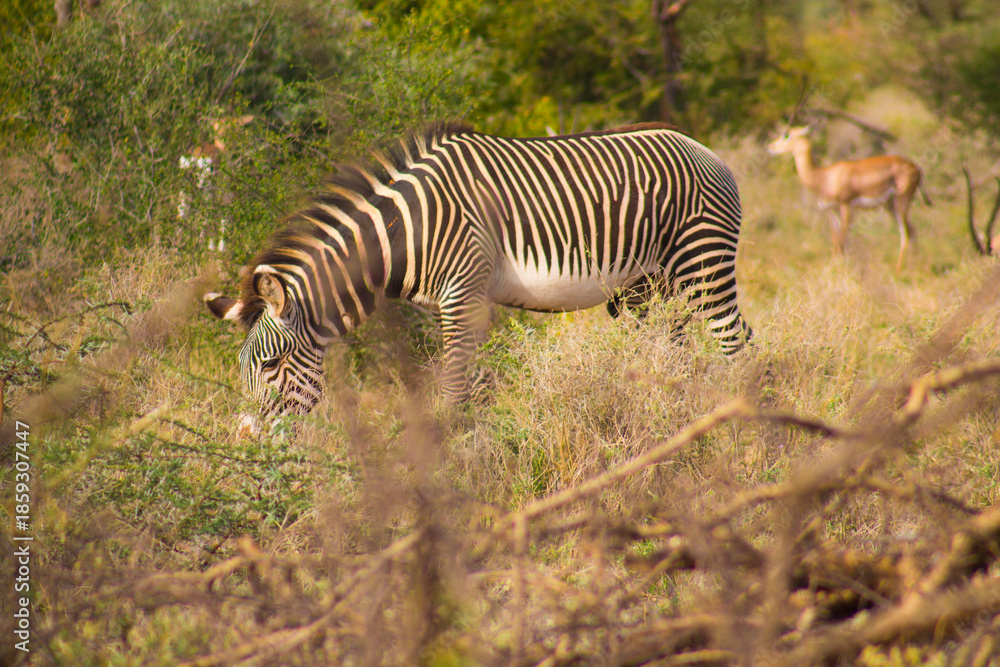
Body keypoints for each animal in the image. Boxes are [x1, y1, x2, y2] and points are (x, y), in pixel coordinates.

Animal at [205, 122, 752, 423]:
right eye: (242, 369)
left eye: (270, 365)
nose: (249, 439)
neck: (405, 233)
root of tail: (706, 150)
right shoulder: (444, 306)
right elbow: (459, 384)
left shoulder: (462, 296)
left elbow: (452, 388)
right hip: (651, 284)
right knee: (674, 351)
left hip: (702, 262)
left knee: (735, 343)